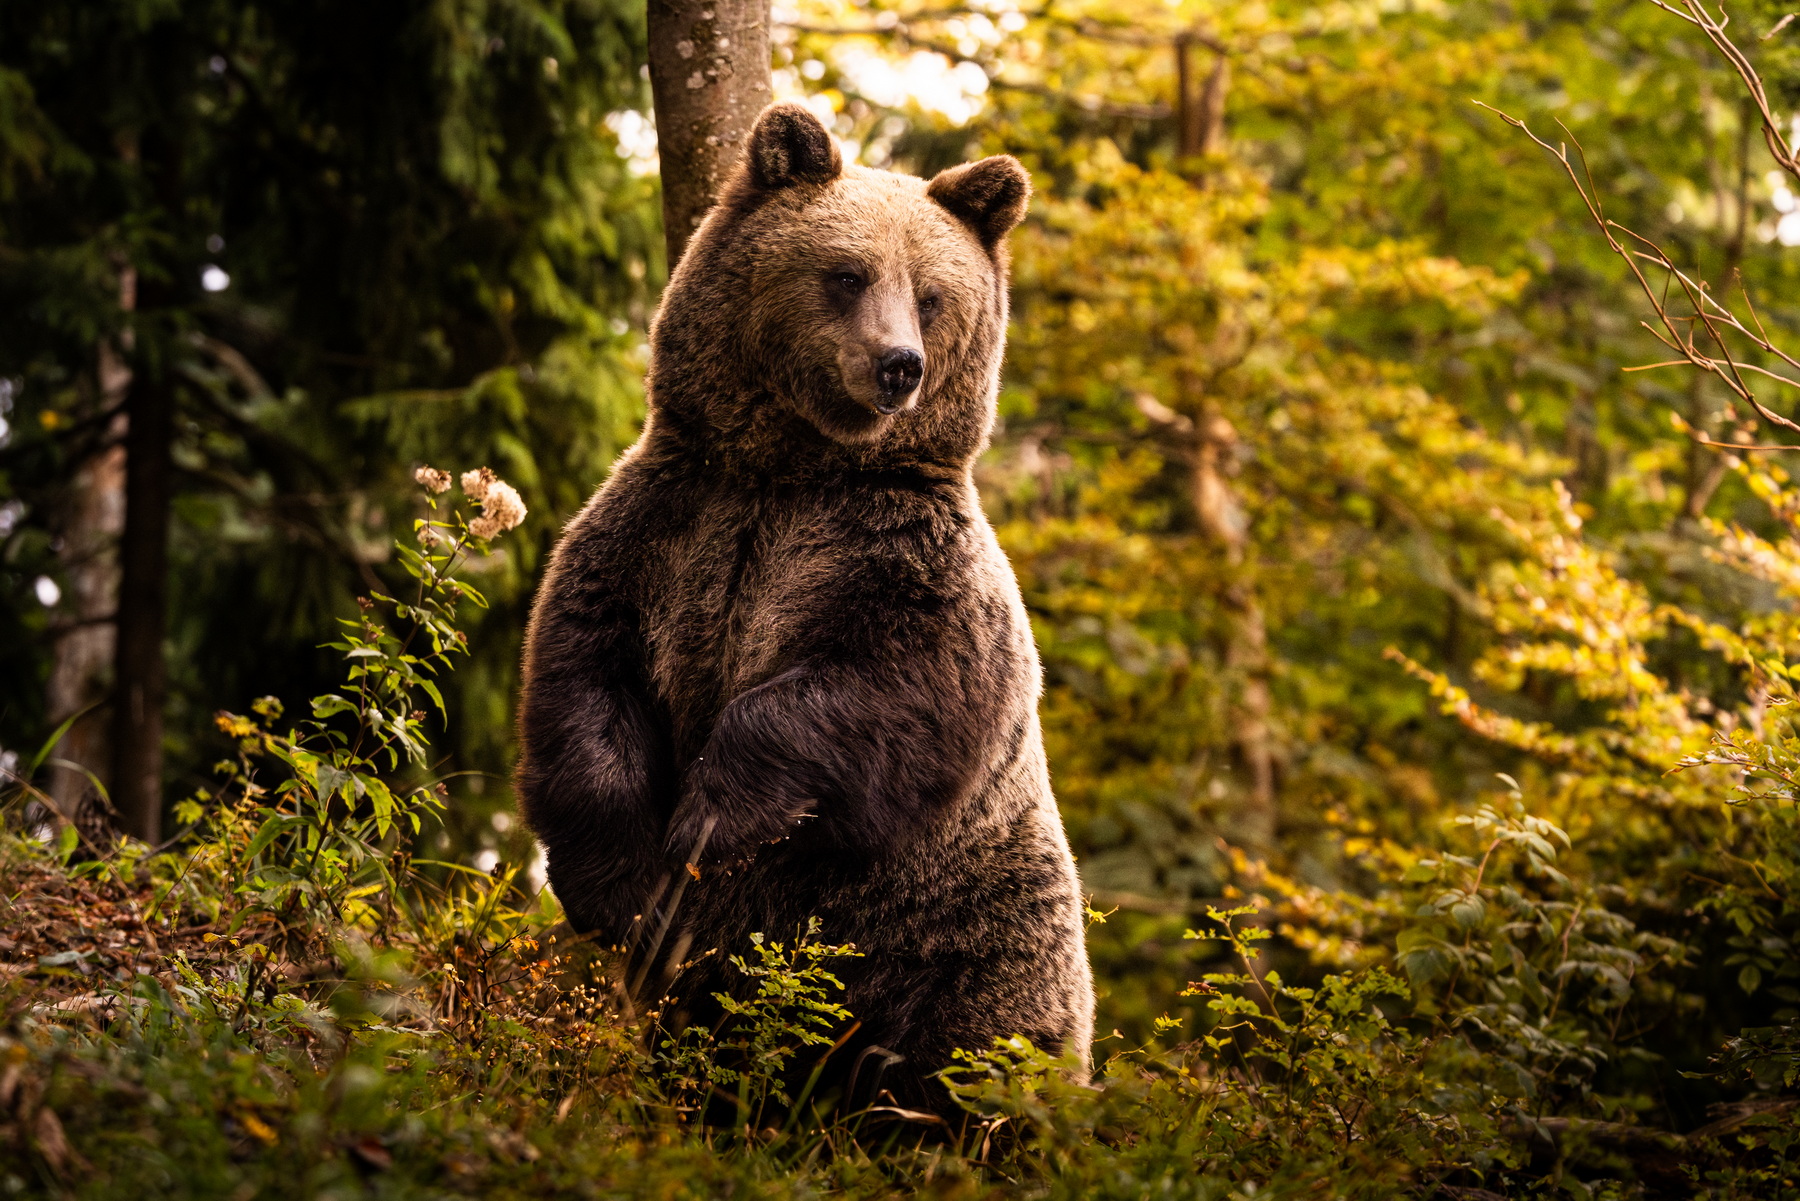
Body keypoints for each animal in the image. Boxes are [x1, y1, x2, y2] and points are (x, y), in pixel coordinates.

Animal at [515, 101, 1094, 1115]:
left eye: (933, 295)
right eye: (847, 273)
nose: (899, 365)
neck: (792, 468)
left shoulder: (906, 568)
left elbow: (885, 692)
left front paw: (712, 813)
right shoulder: (664, 528)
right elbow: (586, 672)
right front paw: (619, 886)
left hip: (971, 927)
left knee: (977, 1051)